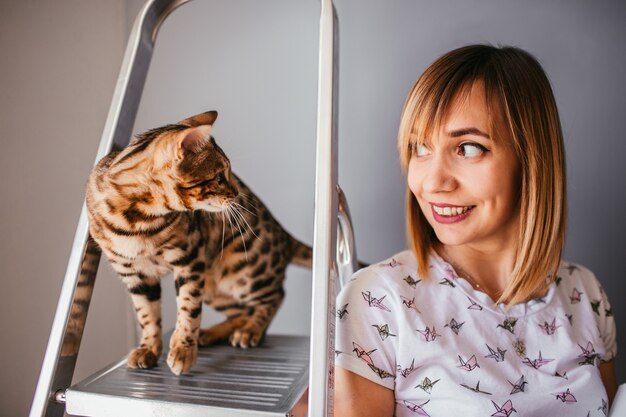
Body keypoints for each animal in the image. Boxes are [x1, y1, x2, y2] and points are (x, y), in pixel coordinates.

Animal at [86, 109, 310, 374]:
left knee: (274, 296)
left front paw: (183, 350)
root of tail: (283, 234)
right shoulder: (135, 274)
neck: (137, 221)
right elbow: (147, 315)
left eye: (228, 174)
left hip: (243, 269)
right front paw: (149, 348)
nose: (236, 193)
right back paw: (213, 333)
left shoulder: (190, 258)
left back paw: (249, 330)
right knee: (240, 310)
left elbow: (189, 308)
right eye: (219, 177)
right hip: (215, 283)